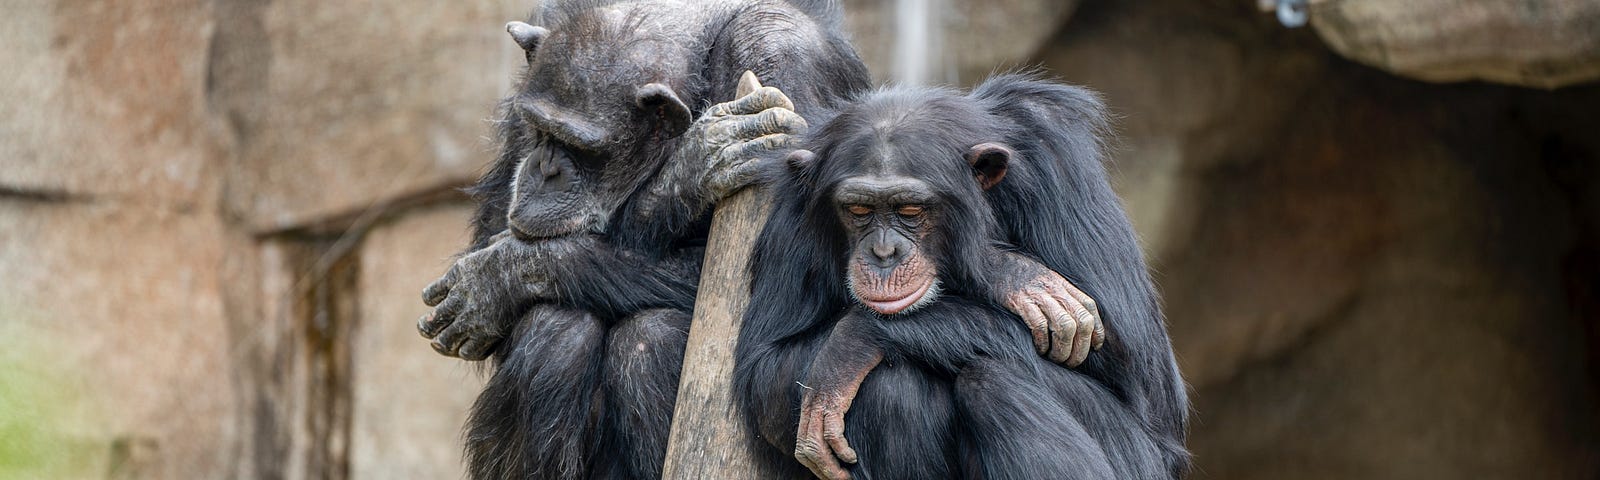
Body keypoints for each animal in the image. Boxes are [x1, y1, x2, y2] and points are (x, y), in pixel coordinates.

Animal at [412, 1, 1113, 476]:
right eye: (539, 131)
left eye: (581, 149)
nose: (545, 170)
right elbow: (491, 240)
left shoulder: (786, 62)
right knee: (553, 333)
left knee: (649, 337)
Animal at [736, 75, 1190, 480]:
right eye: (859, 211)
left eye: (910, 210)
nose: (884, 253)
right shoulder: (793, 206)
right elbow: (765, 371)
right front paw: (1010, 272)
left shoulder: (1058, 161)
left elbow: (1137, 367)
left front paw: (850, 343)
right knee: (887, 388)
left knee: (992, 381)